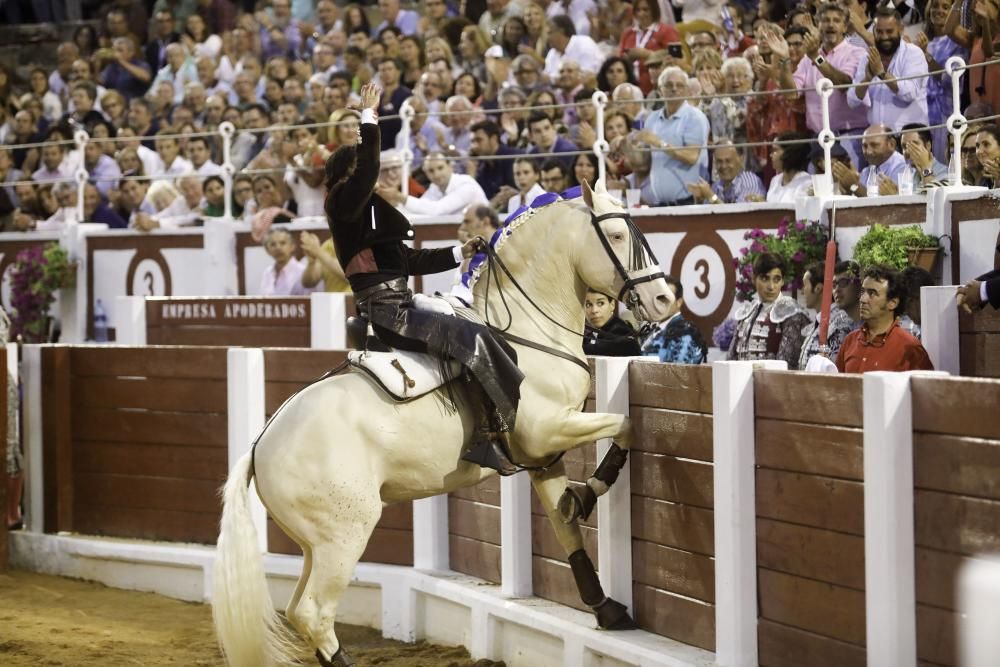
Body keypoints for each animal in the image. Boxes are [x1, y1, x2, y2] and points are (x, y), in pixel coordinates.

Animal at [215, 180, 676, 664]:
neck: (526, 330)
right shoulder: (547, 429)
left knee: (297, 611)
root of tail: (259, 447)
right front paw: (590, 492)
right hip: (344, 536)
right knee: (314, 613)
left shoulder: (543, 455)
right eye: (619, 235)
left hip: (314, 545)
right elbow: (625, 422)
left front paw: (606, 606)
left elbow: (565, 525)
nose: (664, 299)